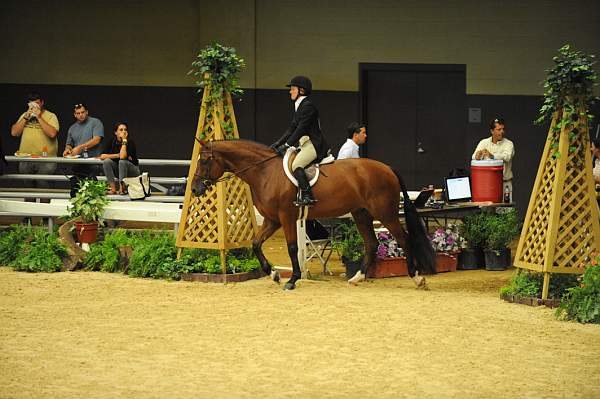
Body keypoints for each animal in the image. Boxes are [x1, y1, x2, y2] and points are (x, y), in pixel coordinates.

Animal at [193, 141, 436, 290]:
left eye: (204, 161)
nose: (195, 189)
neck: (264, 173)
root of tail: (387, 168)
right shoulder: (272, 220)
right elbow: (255, 243)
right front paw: (273, 274)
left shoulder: (286, 217)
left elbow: (292, 248)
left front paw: (292, 280)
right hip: (361, 213)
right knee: (371, 243)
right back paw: (357, 277)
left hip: (384, 213)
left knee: (403, 239)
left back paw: (417, 278)